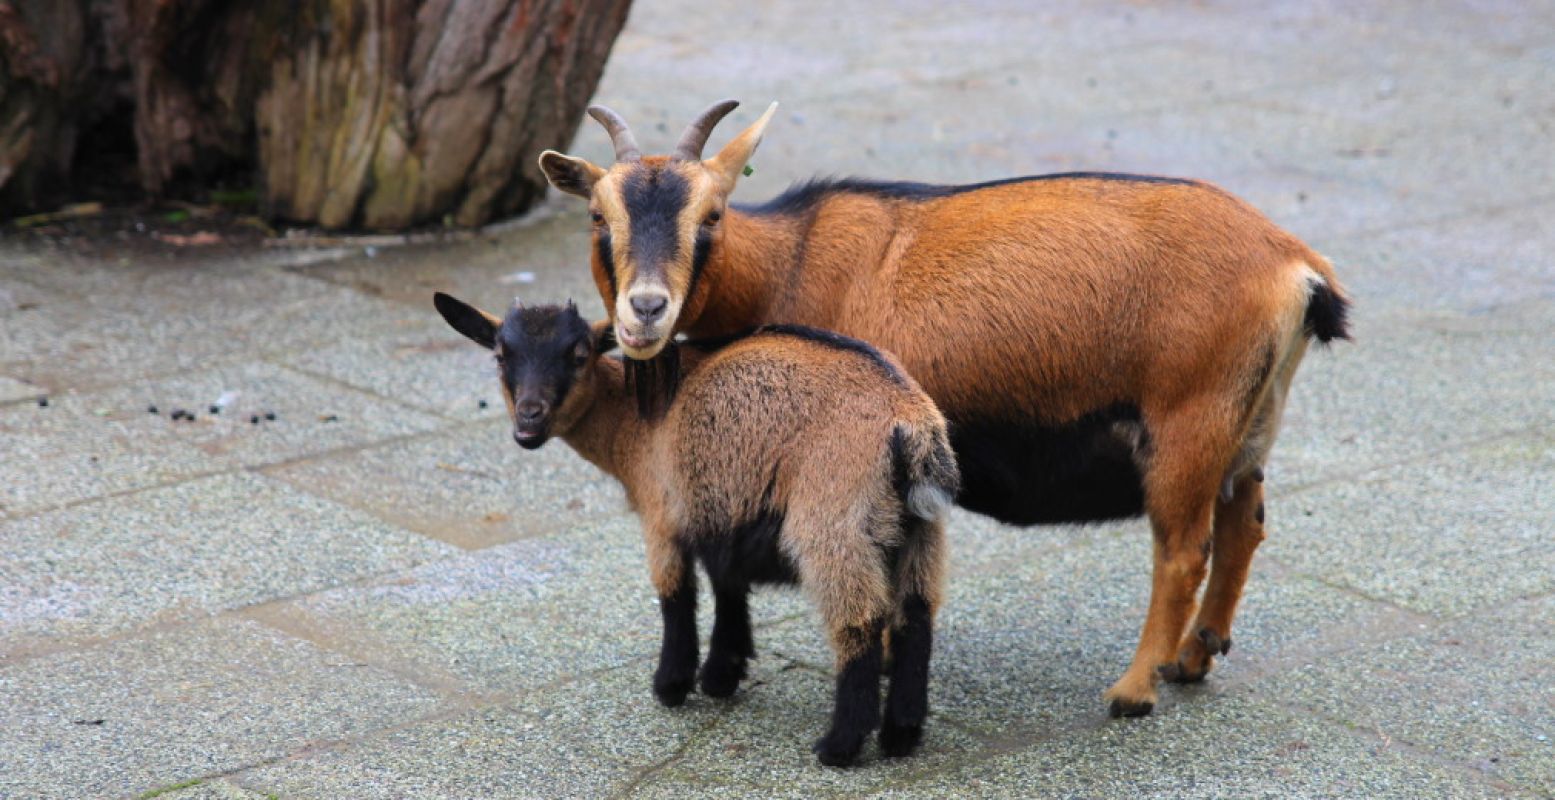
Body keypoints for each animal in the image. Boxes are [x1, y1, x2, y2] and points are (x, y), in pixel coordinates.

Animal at [432, 294, 951, 765]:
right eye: (502, 355)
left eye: (579, 354)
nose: (529, 420)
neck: (633, 418)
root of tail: (909, 424)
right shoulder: (721, 507)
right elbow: (728, 586)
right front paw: (721, 674)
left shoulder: (663, 513)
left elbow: (675, 595)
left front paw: (672, 685)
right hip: (919, 530)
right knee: (916, 617)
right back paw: (901, 735)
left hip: (833, 521)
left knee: (859, 622)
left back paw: (839, 746)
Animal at [534, 99, 1349, 715]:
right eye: (599, 218)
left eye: (710, 216)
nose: (645, 311)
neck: (785, 260)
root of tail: (1296, 266)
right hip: (1248, 419)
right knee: (1244, 522)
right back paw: (1193, 658)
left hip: (1187, 423)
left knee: (1182, 551)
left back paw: (1132, 690)